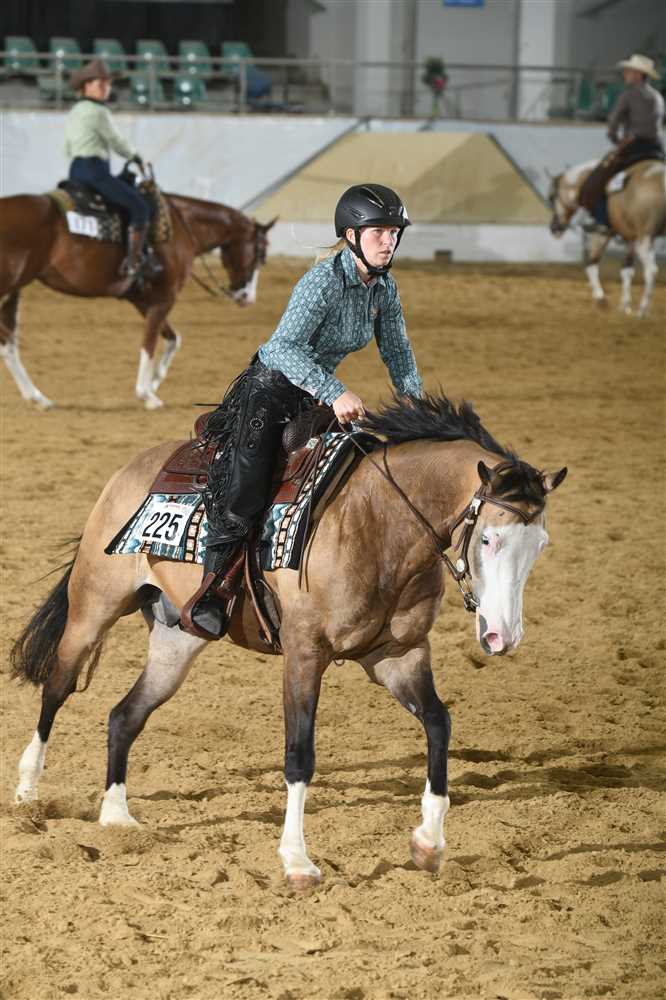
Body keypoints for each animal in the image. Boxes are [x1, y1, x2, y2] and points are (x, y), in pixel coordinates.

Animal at [0, 188, 274, 409]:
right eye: (261, 254)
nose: (247, 297)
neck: (181, 227)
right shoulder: (163, 299)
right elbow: (149, 343)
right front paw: (147, 394)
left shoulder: (144, 301)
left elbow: (173, 339)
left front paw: (153, 383)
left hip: (15, 289)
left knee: (9, 342)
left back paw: (38, 397)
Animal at [10, 394, 567, 889]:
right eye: (489, 539)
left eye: (541, 544)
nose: (502, 635)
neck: (378, 522)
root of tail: (131, 471)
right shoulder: (304, 653)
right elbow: (300, 754)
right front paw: (297, 862)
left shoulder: (398, 656)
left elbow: (438, 723)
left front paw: (428, 843)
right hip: (93, 609)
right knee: (56, 687)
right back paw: (27, 791)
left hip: (176, 641)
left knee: (124, 715)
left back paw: (116, 815)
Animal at [548, 158, 665, 317]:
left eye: (551, 197)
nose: (554, 228)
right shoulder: (630, 238)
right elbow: (626, 270)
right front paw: (624, 306)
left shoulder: (603, 232)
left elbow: (591, 262)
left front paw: (600, 298)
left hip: (645, 239)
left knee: (651, 270)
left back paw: (642, 310)